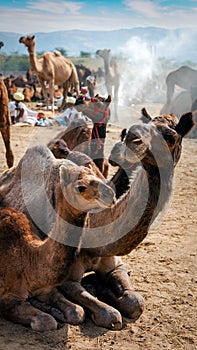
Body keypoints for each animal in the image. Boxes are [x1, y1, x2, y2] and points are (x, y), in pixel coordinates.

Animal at [0, 146, 114, 332]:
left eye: (97, 175)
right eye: (80, 187)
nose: (109, 193)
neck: (29, 257)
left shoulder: (46, 289)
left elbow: (77, 311)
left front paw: (57, 311)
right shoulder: (6, 299)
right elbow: (46, 321)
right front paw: (50, 313)